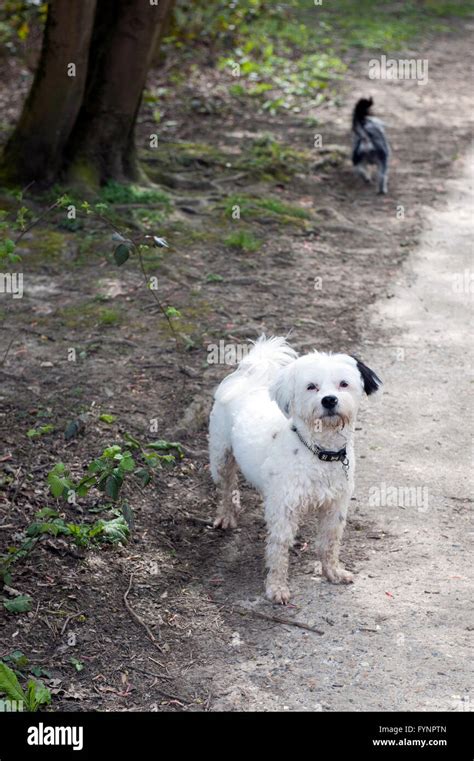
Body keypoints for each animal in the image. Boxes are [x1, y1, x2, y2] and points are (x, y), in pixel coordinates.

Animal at [208, 336, 382, 604]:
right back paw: (227, 515)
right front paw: (276, 587)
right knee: (227, 487)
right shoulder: (284, 510)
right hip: (220, 457)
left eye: (344, 384)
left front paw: (332, 572)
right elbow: (278, 551)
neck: (319, 452)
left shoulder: (335, 507)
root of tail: (246, 381)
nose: (329, 400)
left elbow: (329, 543)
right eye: (312, 387)